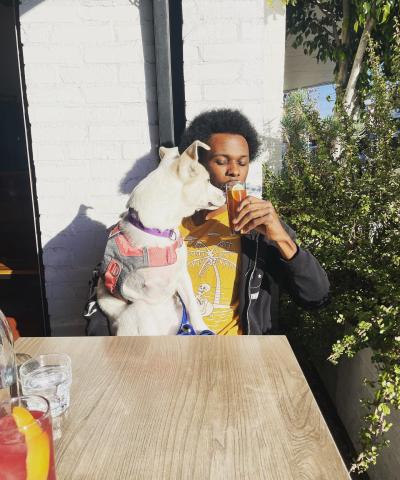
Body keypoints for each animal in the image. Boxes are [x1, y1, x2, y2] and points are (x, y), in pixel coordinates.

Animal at [95, 141, 223, 336]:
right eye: (208, 180)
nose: (224, 193)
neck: (157, 231)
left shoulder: (181, 274)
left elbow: (192, 304)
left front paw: (202, 329)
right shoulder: (136, 291)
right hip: (136, 312)